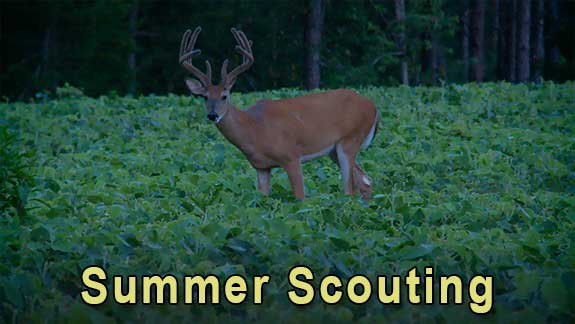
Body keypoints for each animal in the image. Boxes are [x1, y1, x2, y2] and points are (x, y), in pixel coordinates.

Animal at [179, 27, 378, 200]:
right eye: (204, 97)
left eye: (224, 96)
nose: (213, 115)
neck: (254, 128)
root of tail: (374, 108)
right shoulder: (261, 167)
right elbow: (262, 198)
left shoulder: (291, 156)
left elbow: (300, 197)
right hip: (334, 150)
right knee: (365, 181)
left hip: (350, 139)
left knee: (350, 189)